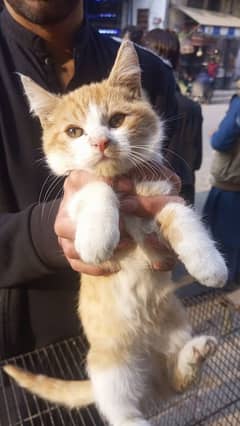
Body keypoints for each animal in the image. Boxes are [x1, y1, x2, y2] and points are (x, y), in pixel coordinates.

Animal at [4, 40, 228, 426]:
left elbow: (181, 216)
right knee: (122, 411)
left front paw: (208, 264)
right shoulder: (71, 197)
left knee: (176, 383)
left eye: (117, 120)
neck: (124, 182)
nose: (100, 143)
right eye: (74, 132)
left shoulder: (162, 194)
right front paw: (97, 237)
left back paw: (195, 353)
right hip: (110, 368)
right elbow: (95, 186)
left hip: (175, 329)